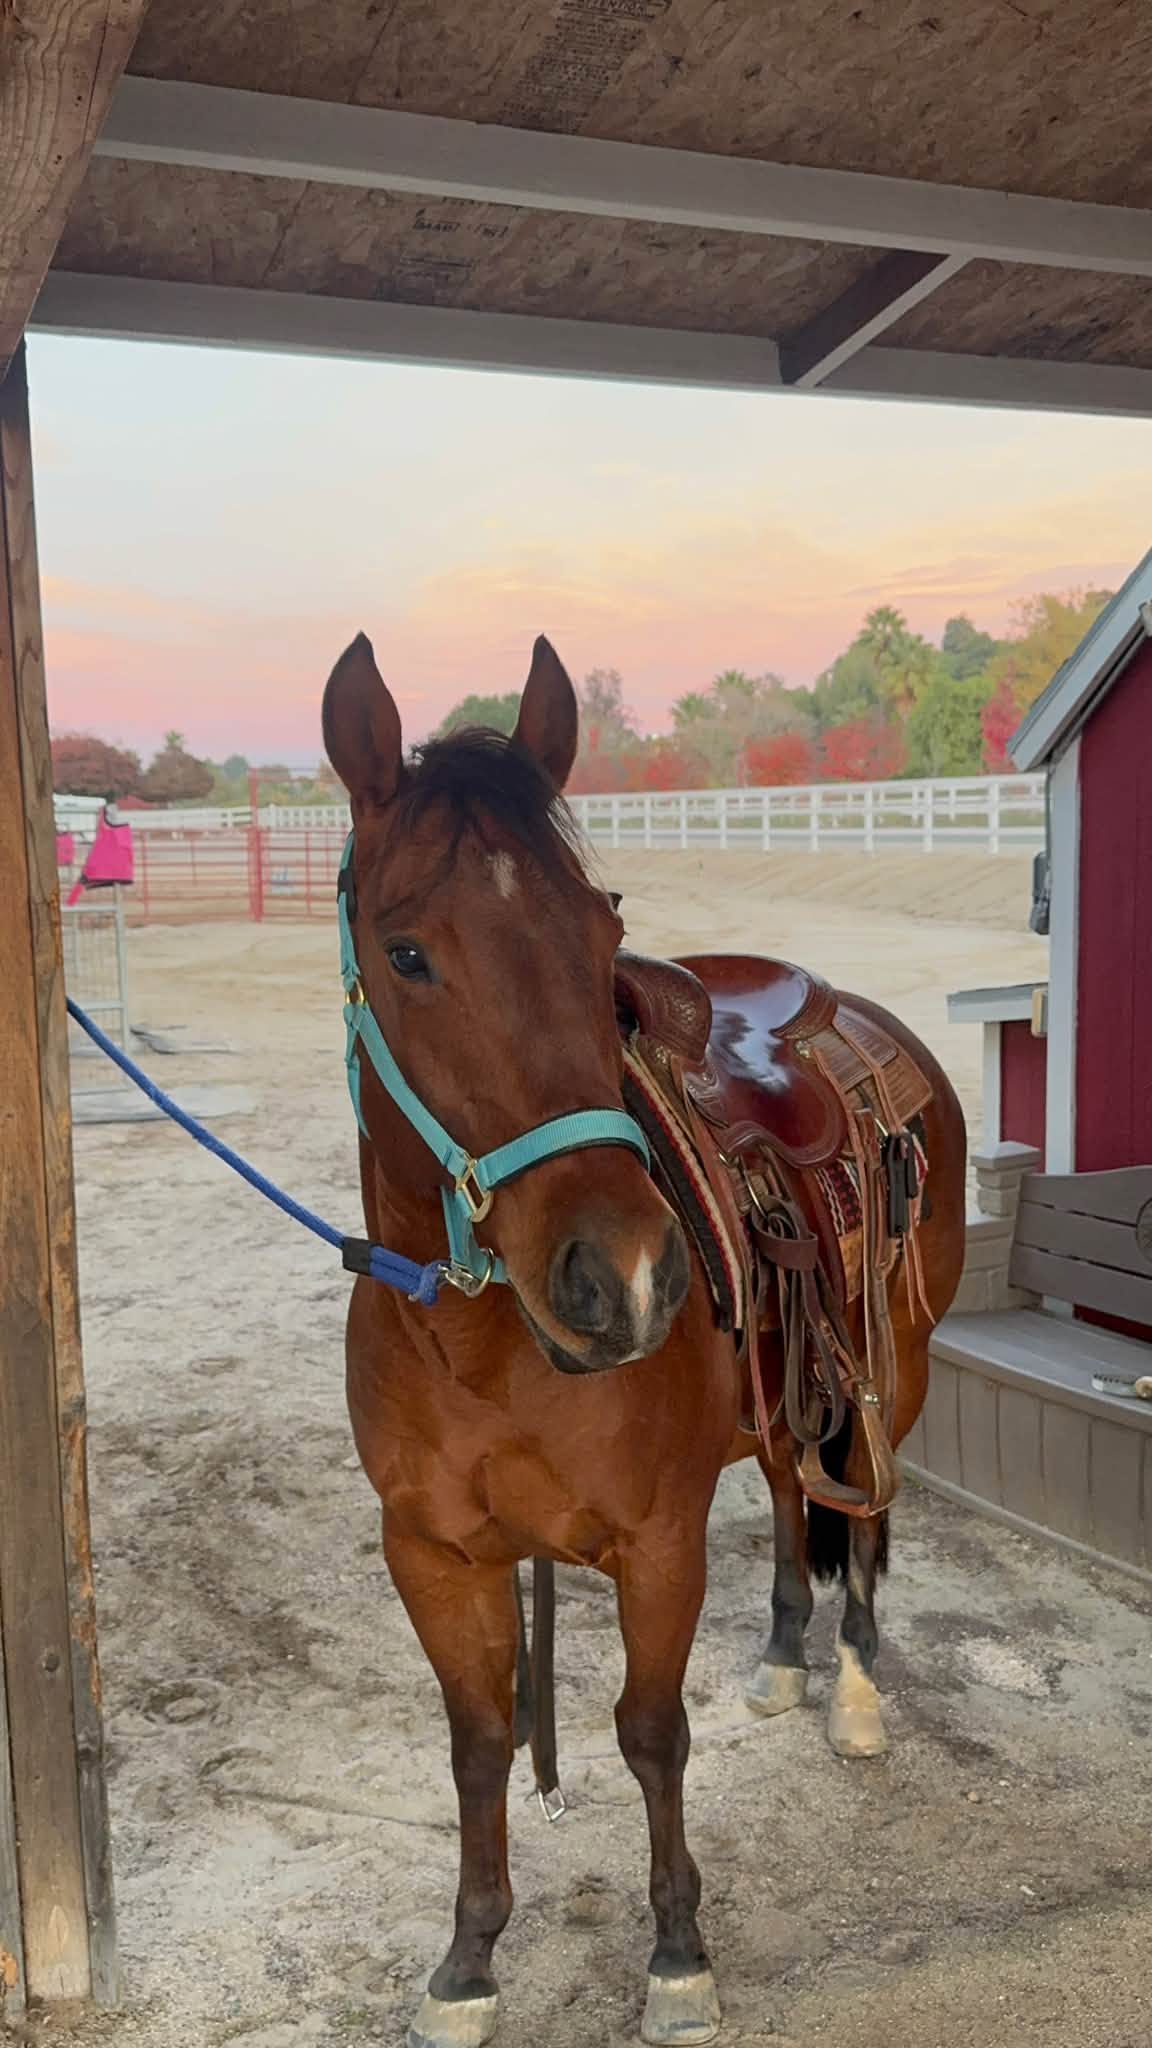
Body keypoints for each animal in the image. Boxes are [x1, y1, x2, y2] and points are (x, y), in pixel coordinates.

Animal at [322, 632, 967, 2048]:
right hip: (785, 1385)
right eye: (406, 952)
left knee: (865, 1519)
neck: (483, 1344)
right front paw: (468, 1960)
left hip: (893, 1370)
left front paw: (677, 1950)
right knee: (789, 1489)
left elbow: (650, 1729)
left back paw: (851, 1687)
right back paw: (781, 1655)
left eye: (603, 931)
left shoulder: (656, 1538)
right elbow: (481, 1742)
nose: (623, 1274)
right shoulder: (432, 1554)